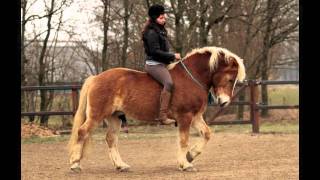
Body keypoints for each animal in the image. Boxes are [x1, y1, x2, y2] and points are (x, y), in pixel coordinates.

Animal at [68, 46, 245, 172]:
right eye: (230, 79)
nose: (224, 102)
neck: (191, 78)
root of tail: (96, 78)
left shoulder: (195, 117)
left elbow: (207, 134)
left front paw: (190, 156)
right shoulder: (185, 117)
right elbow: (183, 140)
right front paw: (185, 164)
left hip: (115, 117)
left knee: (111, 139)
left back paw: (121, 165)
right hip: (96, 115)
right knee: (82, 132)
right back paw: (75, 164)